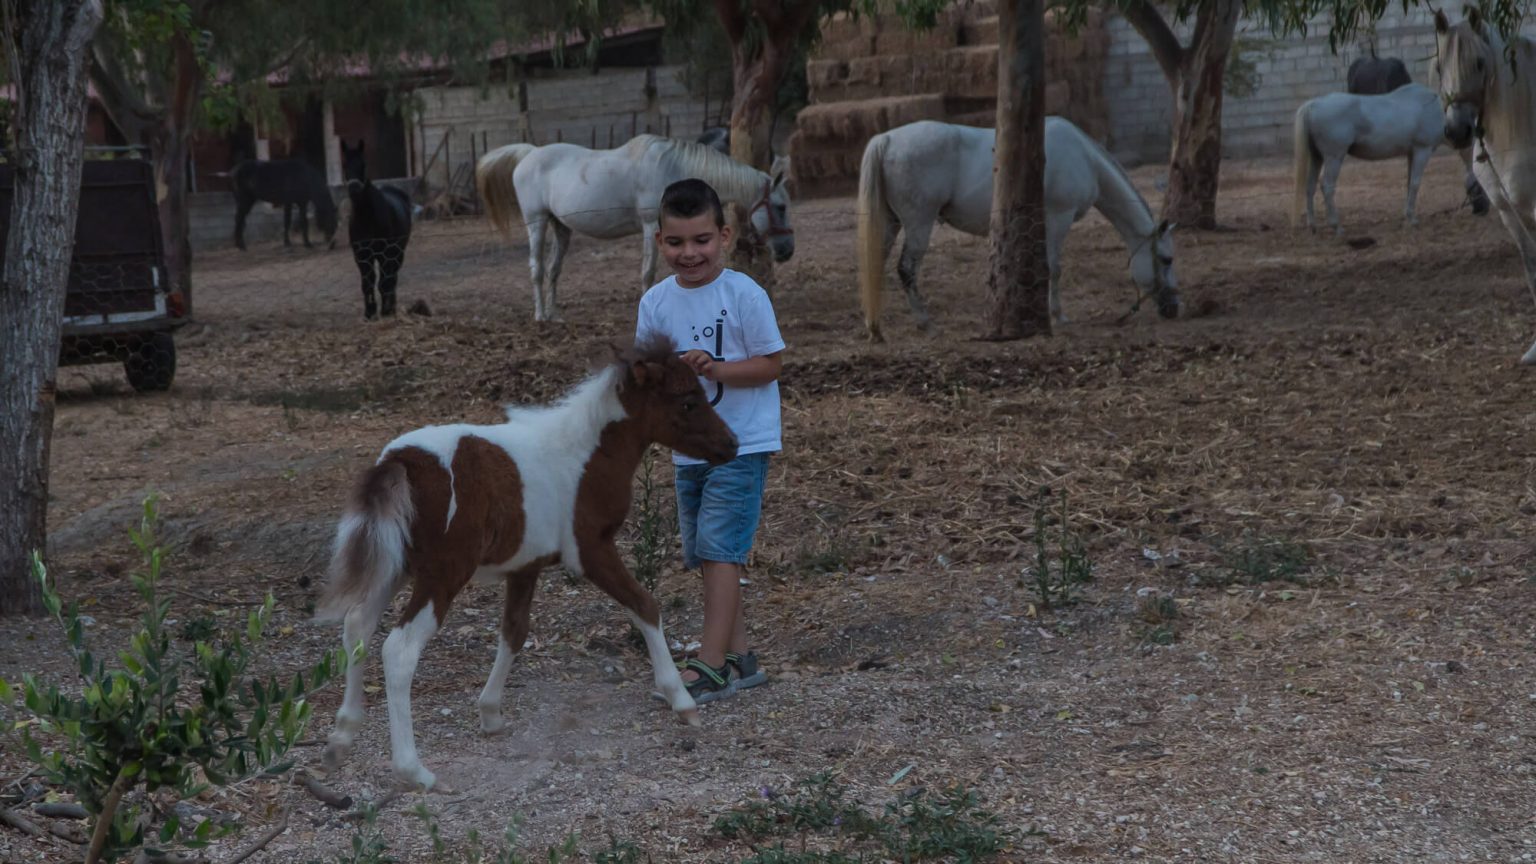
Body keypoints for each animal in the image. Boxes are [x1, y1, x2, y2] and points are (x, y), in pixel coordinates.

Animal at [315, 336, 738, 790]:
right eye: (688, 401)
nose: (731, 444)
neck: (586, 454)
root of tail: (401, 460)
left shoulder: (525, 565)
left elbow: (514, 632)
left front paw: (490, 713)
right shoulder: (590, 550)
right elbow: (645, 605)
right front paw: (682, 700)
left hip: (397, 567)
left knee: (357, 626)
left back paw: (341, 737)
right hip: (443, 574)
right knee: (399, 650)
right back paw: (414, 770)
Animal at [341, 140, 414, 320]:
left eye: (363, 164)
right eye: (344, 164)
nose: (354, 189)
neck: (367, 217)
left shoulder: (384, 253)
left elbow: (384, 282)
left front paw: (385, 310)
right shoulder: (361, 255)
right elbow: (367, 282)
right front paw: (370, 312)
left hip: (397, 253)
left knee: (392, 277)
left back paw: (391, 307)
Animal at [475, 134, 795, 322]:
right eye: (780, 206)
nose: (787, 251)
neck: (672, 169)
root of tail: (529, 154)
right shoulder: (651, 225)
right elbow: (647, 272)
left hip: (560, 227)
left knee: (554, 270)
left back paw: (554, 315)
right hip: (537, 222)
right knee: (537, 268)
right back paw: (541, 315)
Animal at [855, 117, 1179, 342]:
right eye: (1167, 259)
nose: (1175, 308)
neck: (1084, 157)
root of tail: (887, 139)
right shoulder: (1059, 218)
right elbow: (1054, 268)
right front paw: (1057, 316)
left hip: (892, 223)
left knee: (876, 266)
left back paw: (876, 328)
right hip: (918, 224)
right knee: (906, 269)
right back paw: (926, 323)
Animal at [1290, 83, 1446, 234]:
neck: (1428, 104)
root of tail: (1313, 104)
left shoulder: (1411, 154)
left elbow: (1409, 183)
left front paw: (1407, 217)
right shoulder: (1422, 150)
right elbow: (1414, 183)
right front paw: (1412, 219)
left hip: (1317, 158)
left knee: (1310, 185)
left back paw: (1312, 225)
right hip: (1333, 158)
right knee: (1327, 185)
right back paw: (1336, 226)